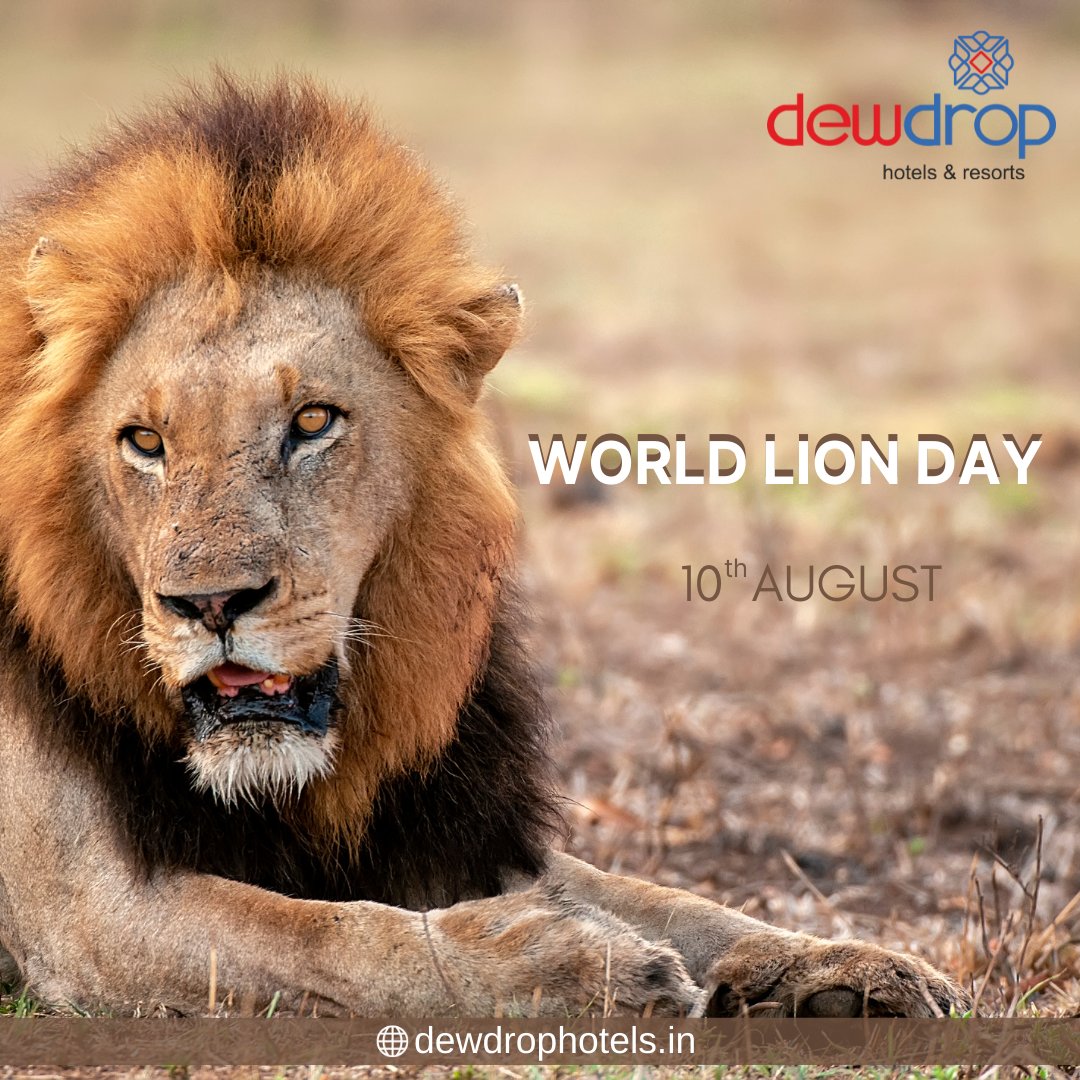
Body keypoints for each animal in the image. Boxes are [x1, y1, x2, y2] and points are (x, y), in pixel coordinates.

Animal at [0, 74, 968, 1018]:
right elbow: (333, 936)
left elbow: (674, 901)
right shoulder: (85, 913)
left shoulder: (455, 831)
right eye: (144, 441)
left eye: (312, 422)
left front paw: (849, 966)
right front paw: (579, 964)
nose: (210, 605)